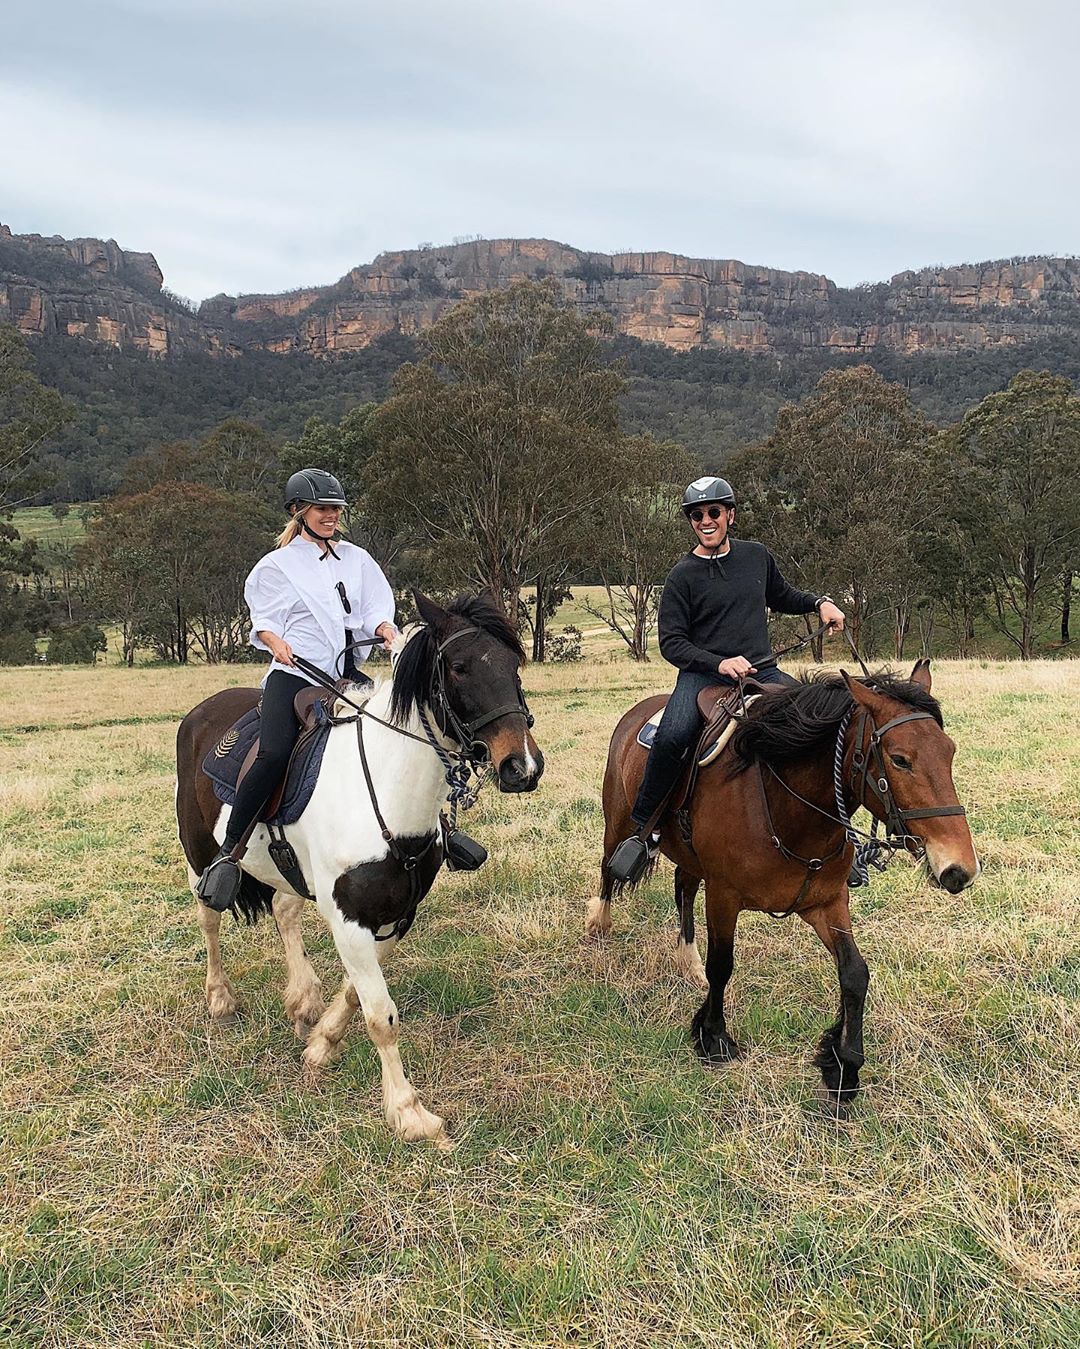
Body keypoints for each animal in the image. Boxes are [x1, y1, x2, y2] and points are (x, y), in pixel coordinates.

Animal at [182, 596, 547, 1143]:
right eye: (459, 668)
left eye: (514, 665)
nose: (521, 767)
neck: (386, 793)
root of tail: (201, 712)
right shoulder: (350, 919)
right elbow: (380, 1015)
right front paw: (409, 1112)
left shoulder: (394, 916)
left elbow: (357, 996)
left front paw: (320, 1043)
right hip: (199, 855)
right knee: (209, 918)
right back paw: (221, 999)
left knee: (285, 908)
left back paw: (302, 1000)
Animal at [585, 658, 981, 1111]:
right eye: (900, 759)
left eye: (950, 751)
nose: (960, 868)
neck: (785, 805)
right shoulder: (724, 896)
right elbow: (722, 965)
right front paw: (713, 1037)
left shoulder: (827, 901)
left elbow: (854, 973)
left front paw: (843, 1066)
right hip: (617, 822)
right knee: (609, 869)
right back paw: (599, 923)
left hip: (689, 857)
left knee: (683, 887)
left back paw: (687, 960)